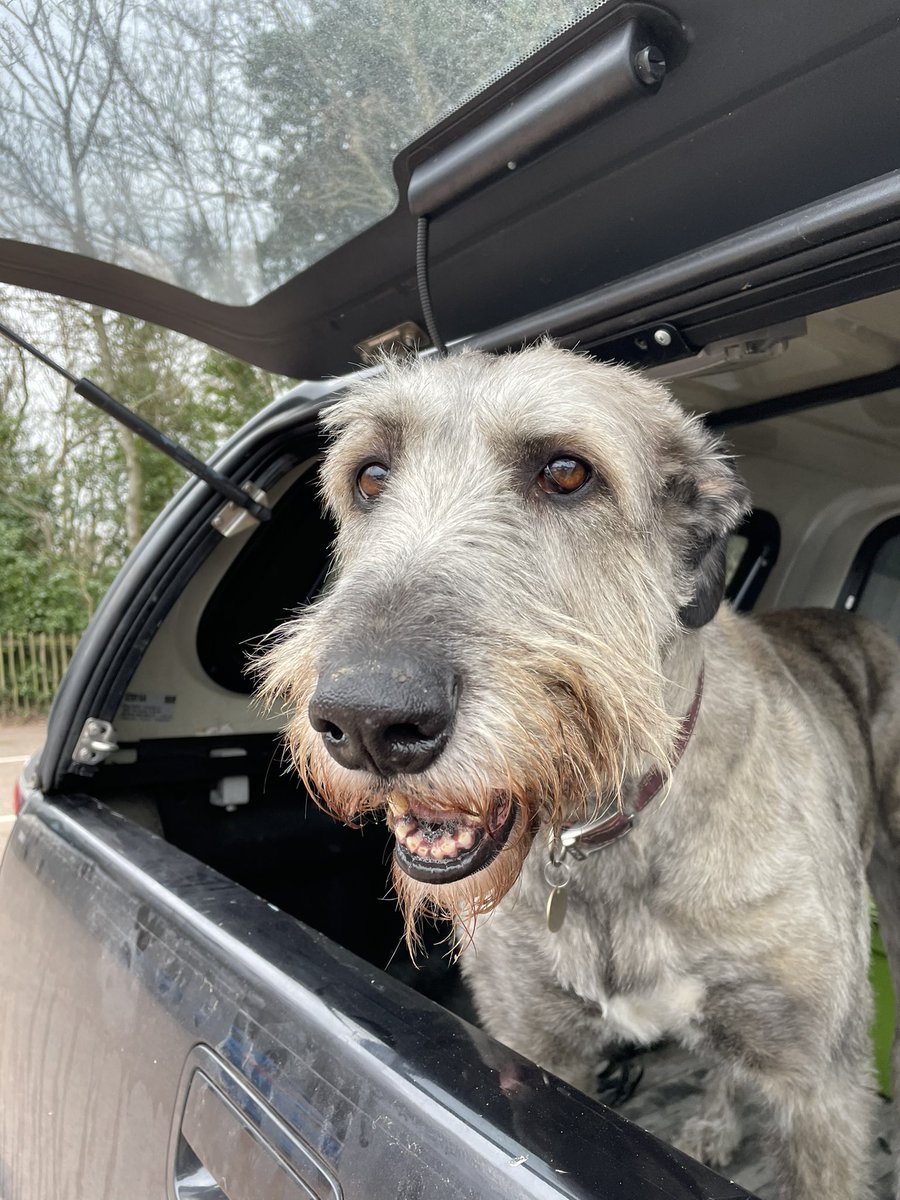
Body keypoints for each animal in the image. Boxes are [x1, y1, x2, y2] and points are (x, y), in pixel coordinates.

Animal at [260, 343, 900, 1200]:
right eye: (370, 476)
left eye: (566, 472)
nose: (366, 719)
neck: (610, 836)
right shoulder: (533, 1050)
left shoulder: (819, 1086)